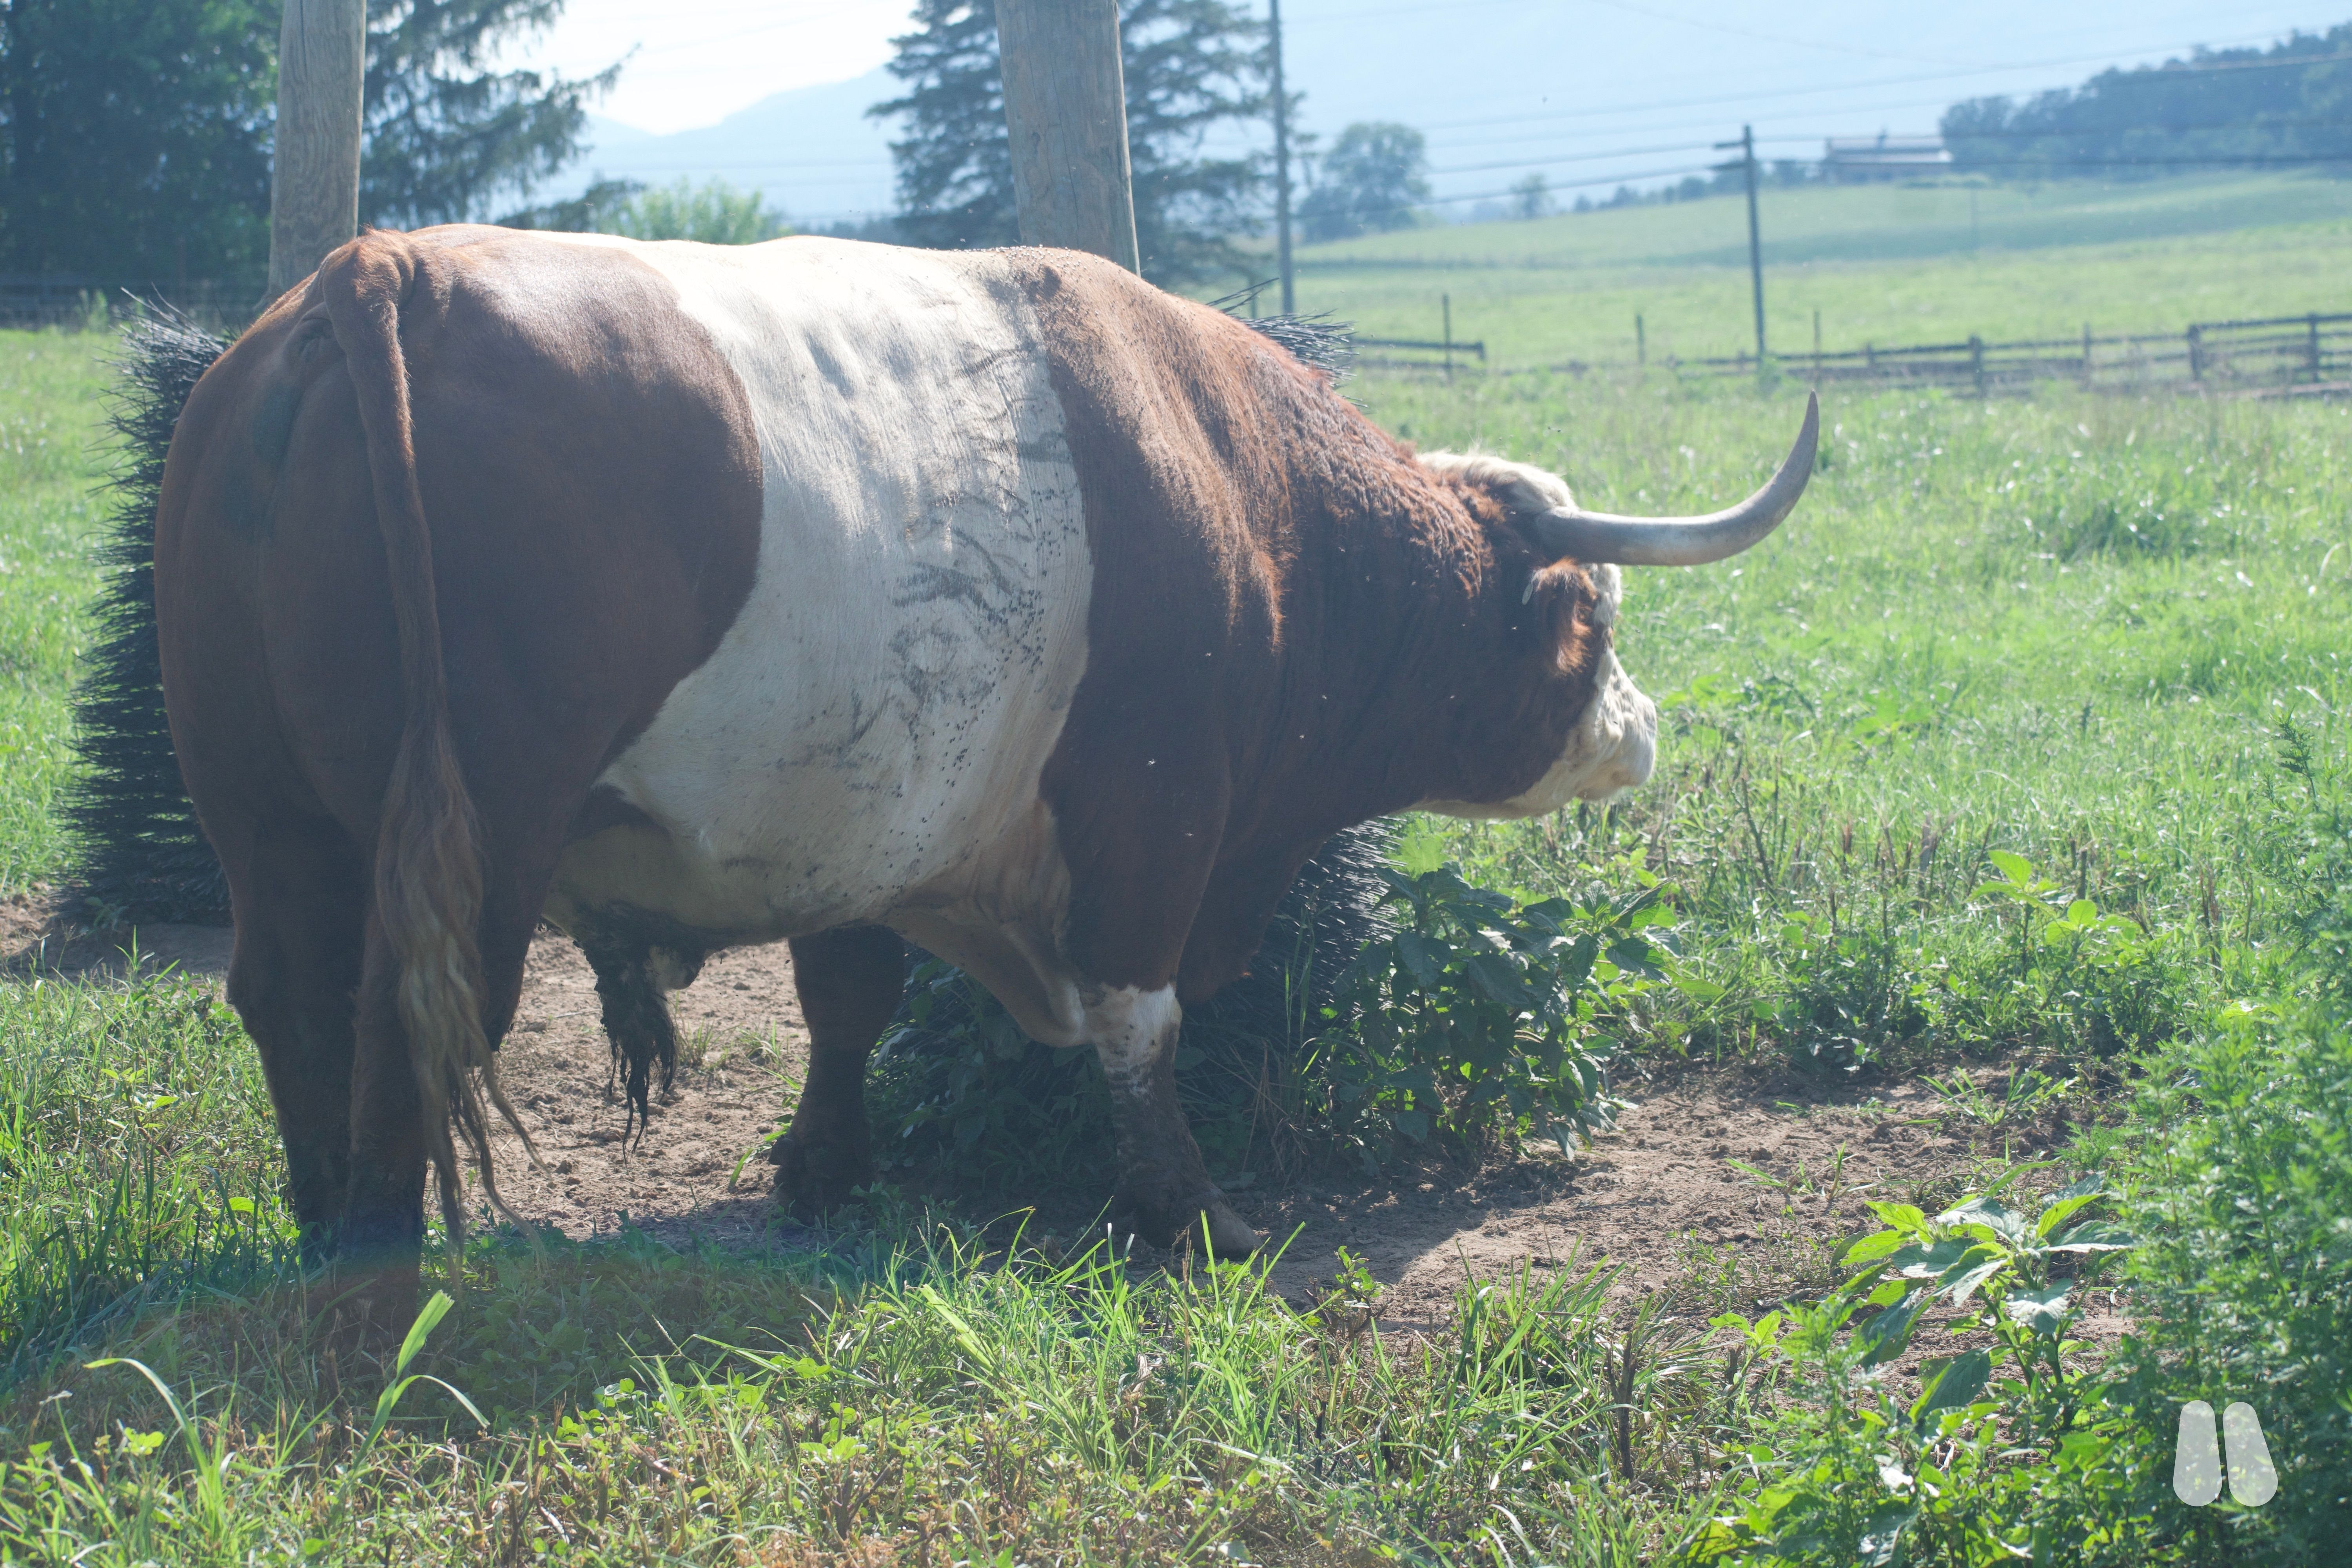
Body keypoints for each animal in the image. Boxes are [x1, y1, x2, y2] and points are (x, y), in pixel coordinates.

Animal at [154, 226, 1813, 1293]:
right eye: (1592, 615)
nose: (1638, 728)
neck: (1241, 491)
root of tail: (385, 274)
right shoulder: (1156, 807)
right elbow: (1138, 1018)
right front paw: (1186, 1212)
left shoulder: (853, 822)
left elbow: (848, 1000)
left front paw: (824, 1169)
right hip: (484, 826)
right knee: (404, 1011)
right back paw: (378, 1255)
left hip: (264, 815)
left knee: (287, 995)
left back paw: (316, 1221)